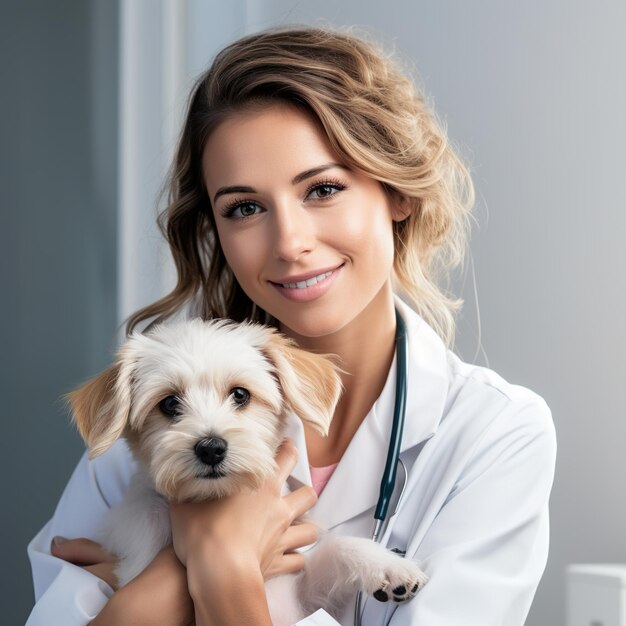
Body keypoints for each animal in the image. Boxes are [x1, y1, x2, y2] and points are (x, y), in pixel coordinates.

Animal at [69, 320, 428, 620]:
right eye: (169, 403)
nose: (211, 447)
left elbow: (338, 548)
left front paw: (389, 567)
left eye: (240, 394)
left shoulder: (299, 591)